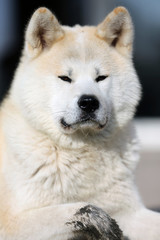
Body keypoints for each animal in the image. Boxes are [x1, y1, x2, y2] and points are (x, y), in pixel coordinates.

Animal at [0, 5, 160, 240]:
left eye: (101, 78)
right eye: (65, 78)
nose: (89, 102)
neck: (80, 151)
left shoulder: (130, 212)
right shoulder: (11, 223)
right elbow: (79, 208)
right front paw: (100, 222)